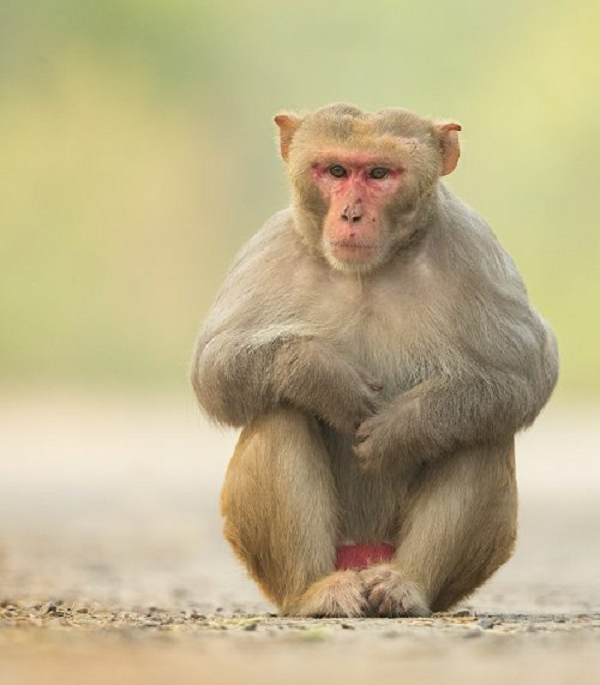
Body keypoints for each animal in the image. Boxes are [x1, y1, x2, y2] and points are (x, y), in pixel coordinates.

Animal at [191, 103, 556, 620]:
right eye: (336, 171)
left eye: (380, 174)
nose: (351, 214)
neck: (370, 271)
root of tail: (364, 555)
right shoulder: (270, 247)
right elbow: (214, 368)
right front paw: (322, 377)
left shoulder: (476, 248)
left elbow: (529, 370)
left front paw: (405, 427)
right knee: (280, 412)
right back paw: (316, 592)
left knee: (481, 429)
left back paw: (407, 586)